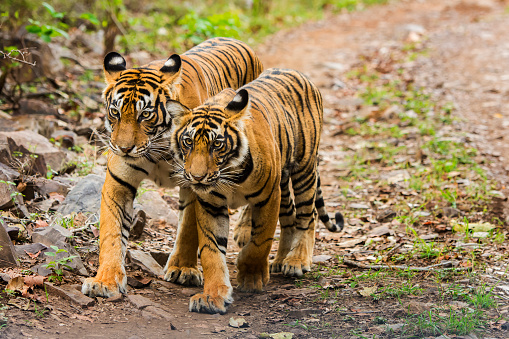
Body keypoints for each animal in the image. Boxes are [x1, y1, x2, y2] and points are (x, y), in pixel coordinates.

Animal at [81, 36, 264, 298]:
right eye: (115, 112)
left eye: (145, 114)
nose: (123, 148)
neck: (156, 149)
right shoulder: (119, 183)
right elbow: (112, 233)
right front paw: (105, 280)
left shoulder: (196, 183)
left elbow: (188, 228)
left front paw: (183, 269)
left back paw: (245, 230)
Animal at [167, 67, 342, 314]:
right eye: (188, 142)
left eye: (217, 144)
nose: (197, 177)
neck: (229, 173)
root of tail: (295, 71)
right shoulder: (210, 203)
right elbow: (212, 251)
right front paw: (212, 296)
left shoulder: (268, 197)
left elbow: (260, 241)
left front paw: (251, 277)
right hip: (283, 182)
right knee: (289, 217)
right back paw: (279, 261)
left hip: (304, 169)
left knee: (309, 214)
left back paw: (296, 261)